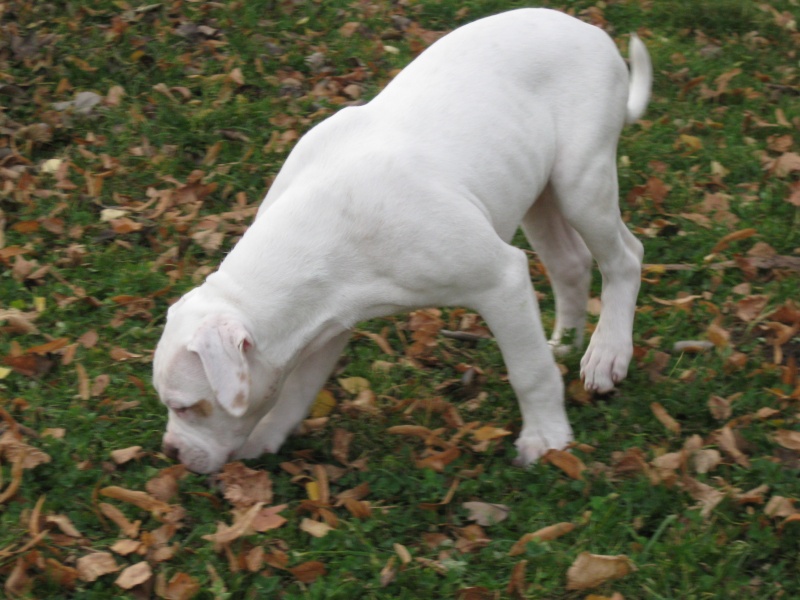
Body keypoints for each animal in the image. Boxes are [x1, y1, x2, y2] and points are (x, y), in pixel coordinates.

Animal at [153, 8, 652, 474]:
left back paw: (606, 353)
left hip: (581, 184)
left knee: (625, 258)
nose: (172, 452)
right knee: (570, 263)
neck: (319, 229)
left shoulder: (501, 280)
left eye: (185, 407)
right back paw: (566, 344)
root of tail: (591, 32)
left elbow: (527, 371)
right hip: (540, 197)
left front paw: (546, 438)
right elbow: (296, 390)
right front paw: (266, 437)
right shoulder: (325, 324)